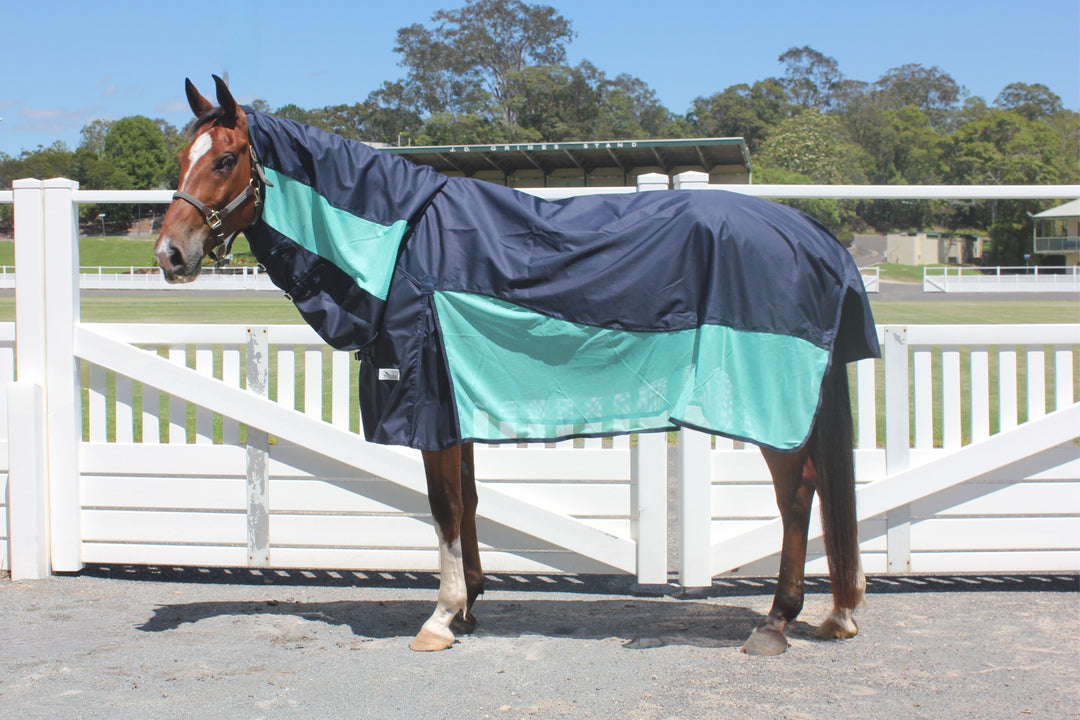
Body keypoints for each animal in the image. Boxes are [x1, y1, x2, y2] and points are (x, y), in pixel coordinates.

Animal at [156, 76, 879, 656]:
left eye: (226, 158)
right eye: (182, 159)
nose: (170, 253)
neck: (403, 241)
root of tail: (814, 236)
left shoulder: (430, 407)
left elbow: (445, 506)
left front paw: (442, 617)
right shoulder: (454, 410)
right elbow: (469, 501)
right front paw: (470, 604)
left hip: (770, 407)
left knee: (797, 494)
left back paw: (777, 621)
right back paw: (836, 614)